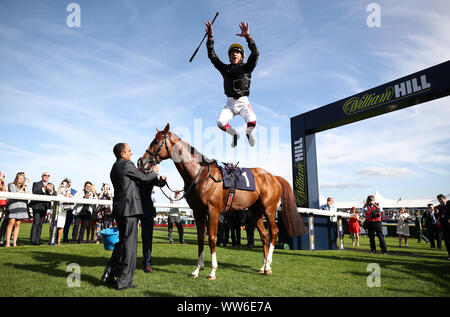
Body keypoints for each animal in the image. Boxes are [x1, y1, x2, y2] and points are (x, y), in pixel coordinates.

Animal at [138, 123, 306, 278]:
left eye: (156, 141)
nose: (141, 161)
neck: (200, 174)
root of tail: (274, 177)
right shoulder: (198, 212)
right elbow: (201, 239)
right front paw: (196, 270)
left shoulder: (213, 211)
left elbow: (212, 238)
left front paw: (212, 271)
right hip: (256, 212)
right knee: (264, 236)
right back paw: (264, 267)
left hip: (269, 210)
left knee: (274, 232)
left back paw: (269, 264)